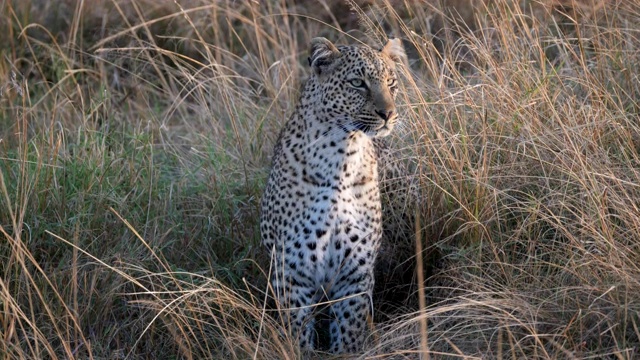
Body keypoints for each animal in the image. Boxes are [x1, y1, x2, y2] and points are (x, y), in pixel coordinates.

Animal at [258, 37, 404, 354]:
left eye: (391, 83)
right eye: (357, 83)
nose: (388, 114)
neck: (342, 158)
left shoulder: (355, 271)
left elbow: (350, 328)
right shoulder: (292, 272)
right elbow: (297, 332)